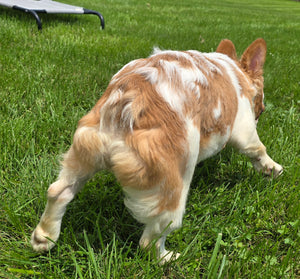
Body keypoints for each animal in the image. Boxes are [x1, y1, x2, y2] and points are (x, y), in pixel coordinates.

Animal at [31, 38, 282, 264]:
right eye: (261, 106)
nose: (261, 110)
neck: (233, 70)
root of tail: (126, 103)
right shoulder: (244, 130)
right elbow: (259, 149)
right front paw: (272, 169)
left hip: (83, 153)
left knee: (58, 191)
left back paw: (44, 238)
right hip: (171, 189)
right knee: (149, 242)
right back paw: (168, 258)